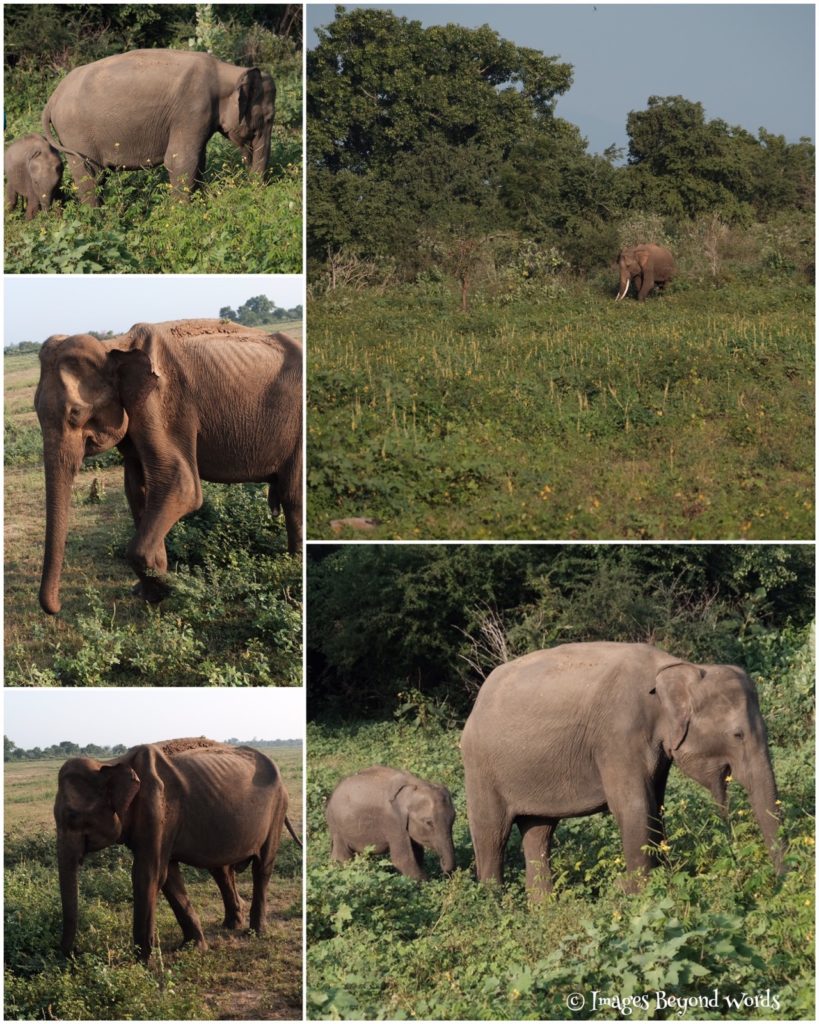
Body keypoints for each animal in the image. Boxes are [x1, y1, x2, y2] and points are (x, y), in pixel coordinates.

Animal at [34, 319, 303, 614]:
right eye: (36, 410)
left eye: (75, 414)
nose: (57, 607)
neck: (115, 347)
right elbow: (136, 490)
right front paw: (150, 591)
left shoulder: (162, 406)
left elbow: (182, 486)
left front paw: (175, 589)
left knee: (292, 495)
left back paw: (294, 565)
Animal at [41, 49, 275, 205]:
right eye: (268, 118)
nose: (255, 192)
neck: (226, 71)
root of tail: (52, 99)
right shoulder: (192, 107)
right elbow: (180, 160)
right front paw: (182, 213)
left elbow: (199, 159)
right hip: (75, 133)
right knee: (90, 175)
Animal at [54, 738, 301, 961]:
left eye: (72, 817)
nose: (75, 953)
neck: (110, 764)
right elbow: (168, 876)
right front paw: (193, 948)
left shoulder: (157, 809)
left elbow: (148, 874)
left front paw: (143, 961)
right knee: (221, 870)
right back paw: (231, 925)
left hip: (278, 808)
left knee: (262, 867)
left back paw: (255, 932)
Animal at [325, 766, 456, 880]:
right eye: (429, 822)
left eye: (454, 819)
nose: (442, 866)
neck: (415, 785)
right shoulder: (393, 821)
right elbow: (403, 860)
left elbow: (417, 853)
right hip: (336, 825)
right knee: (342, 856)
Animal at [461, 641, 785, 897]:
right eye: (737, 735)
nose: (780, 881)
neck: (678, 667)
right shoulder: (619, 735)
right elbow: (635, 807)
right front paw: (639, 895)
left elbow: (656, 806)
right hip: (480, 768)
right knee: (491, 834)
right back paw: (494, 905)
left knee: (538, 831)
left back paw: (542, 910)